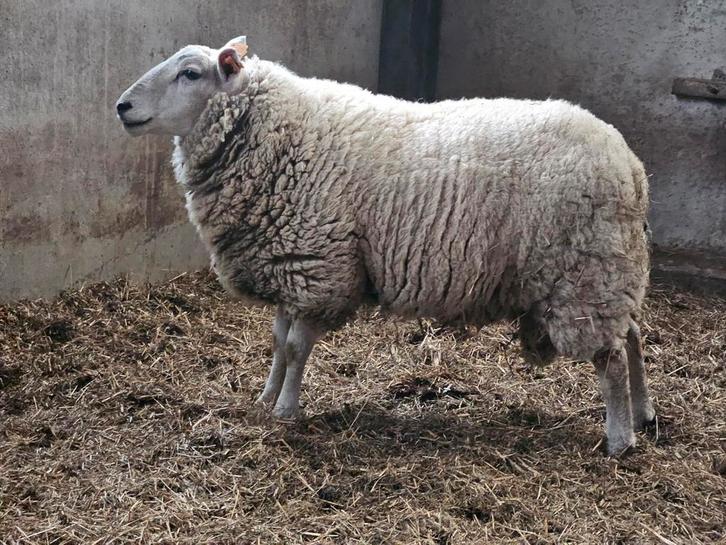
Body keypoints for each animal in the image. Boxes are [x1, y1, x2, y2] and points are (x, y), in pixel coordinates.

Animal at [116, 36, 654, 455]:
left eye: (190, 73)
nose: (122, 107)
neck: (276, 134)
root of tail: (629, 163)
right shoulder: (291, 263)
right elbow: (278, 342)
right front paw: (266, 399)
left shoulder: (320, 265)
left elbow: (295, 347)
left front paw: (287, 410)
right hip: (607, 271)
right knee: (631, 335)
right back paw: (644, 413)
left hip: (584, 273)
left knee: (609, 357)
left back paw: (619, 439)